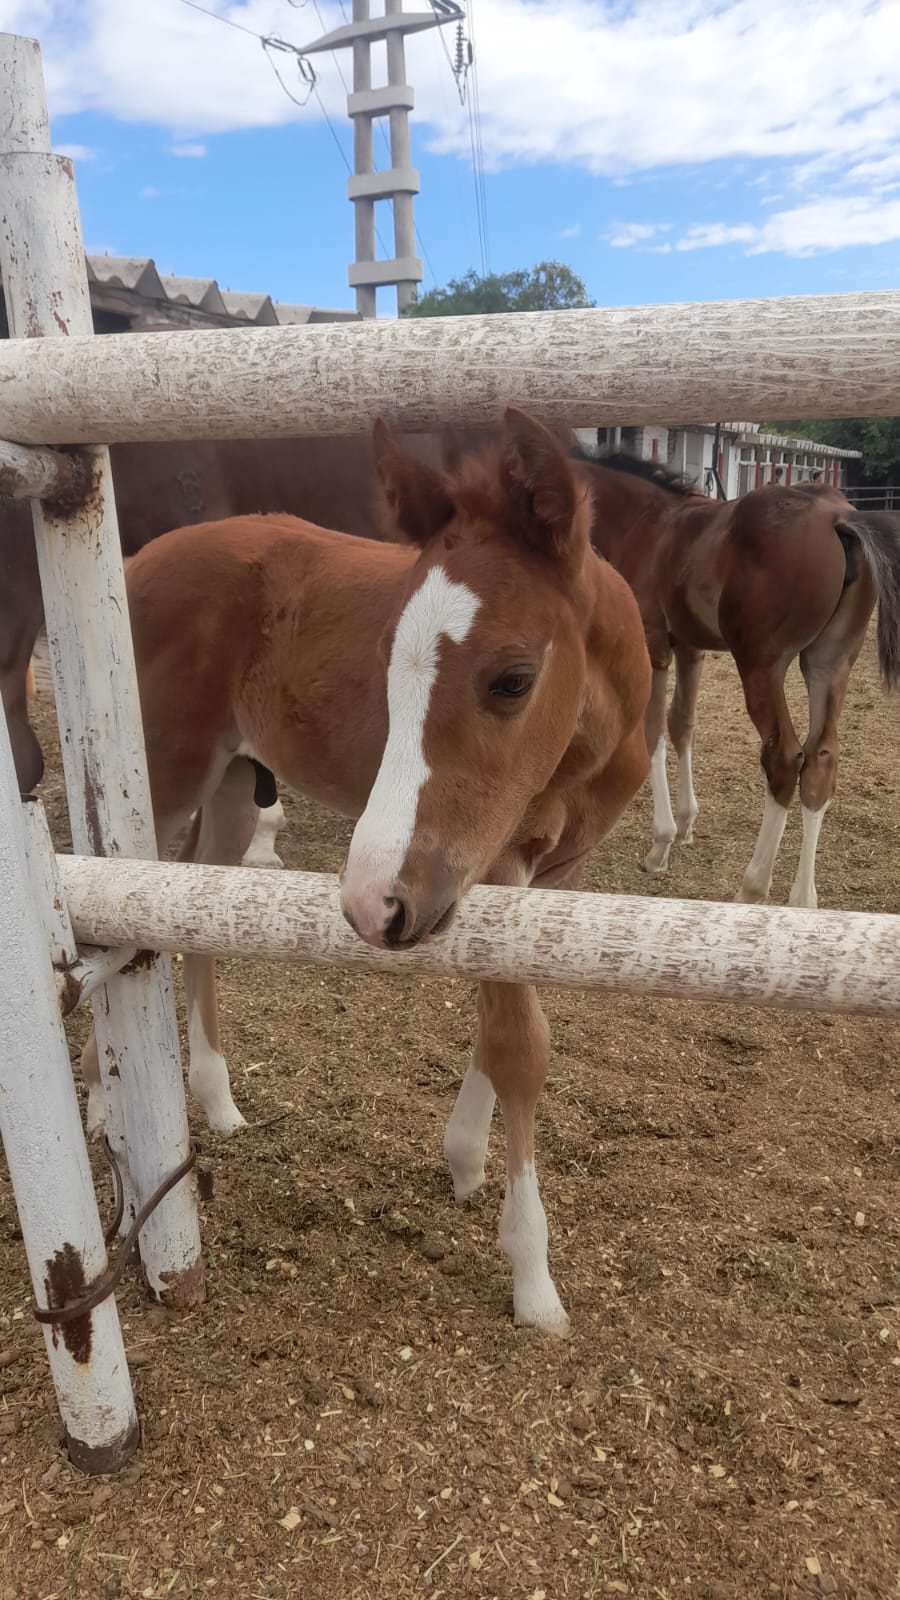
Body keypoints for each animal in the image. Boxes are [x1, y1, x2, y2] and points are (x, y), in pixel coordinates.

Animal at [78, 412, 643, 1337]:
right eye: (384, 666)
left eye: (512, 678)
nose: (373, 903)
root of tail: (133, 563)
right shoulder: (489, 867)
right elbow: (521, 1044)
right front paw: (533, 1277)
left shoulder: (550, 877)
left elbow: (499, 1026)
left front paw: (464, 1158)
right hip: (162, 784)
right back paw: (100, 1099)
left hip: (237, 788)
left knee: (199, 907)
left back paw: (217, 1099)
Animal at [566, 448, 896, 915]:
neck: (647, 523)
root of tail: (839, 517)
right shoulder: (690, 648)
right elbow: (682, 725)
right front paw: (686, 825)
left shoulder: (654, 645)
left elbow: (652, 732)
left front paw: (660, 844)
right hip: (829, 662)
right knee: (821, 759)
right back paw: (803, 900)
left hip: (761, 665)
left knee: (783, 759)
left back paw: (752, 888)